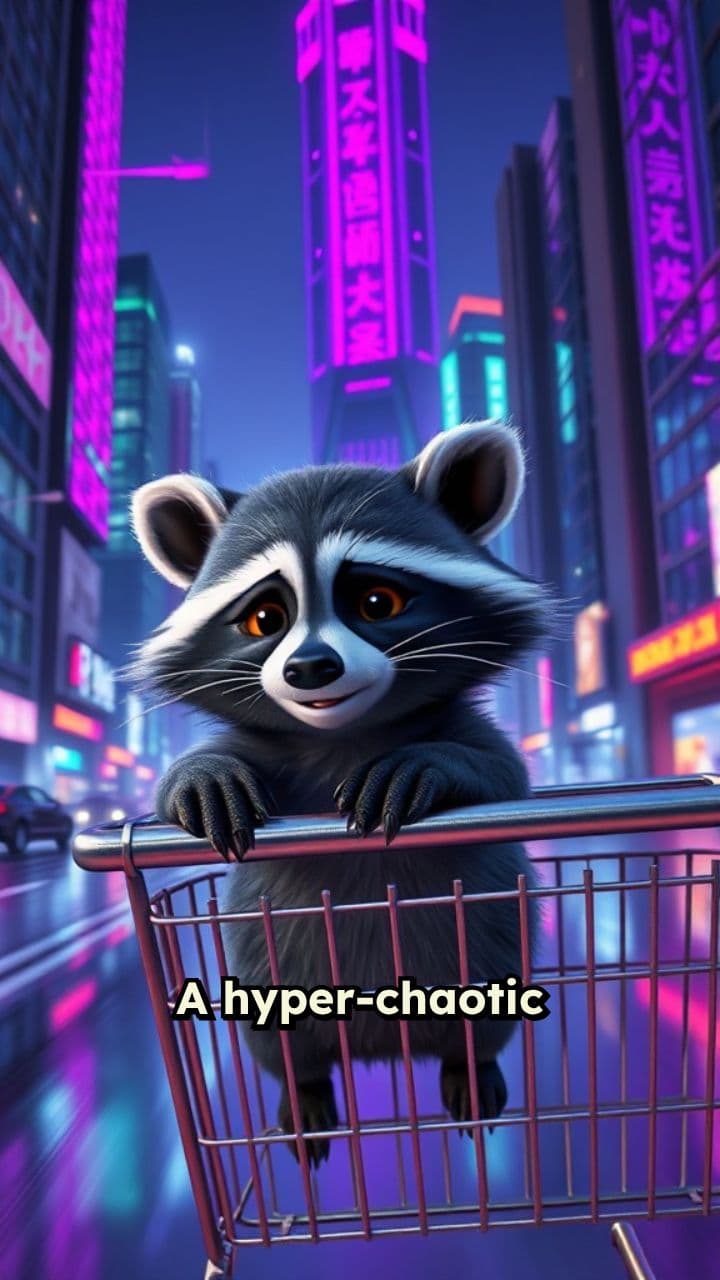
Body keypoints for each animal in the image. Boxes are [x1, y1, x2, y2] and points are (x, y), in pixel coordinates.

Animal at [130, 421, 548, 1165]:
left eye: (377, 602)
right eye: (265, 618)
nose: (309, 668)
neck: (344, 734)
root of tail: (379, 1047)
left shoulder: (472, 735)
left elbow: (502, 771)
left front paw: (426, 764)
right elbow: (192, 776)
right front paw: (201, 776)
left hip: (494, 949)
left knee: (485, 1013)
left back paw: (470, 1066)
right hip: (261, 970)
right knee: (280, 1043)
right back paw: (306, 1091)